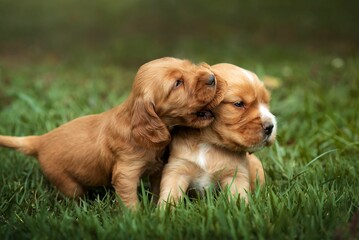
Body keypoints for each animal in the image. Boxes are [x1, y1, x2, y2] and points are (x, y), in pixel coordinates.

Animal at [0, 56, 225, 208]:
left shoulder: (157, 169)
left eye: (189, 67)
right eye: (177, 83)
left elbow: (157, 189)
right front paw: (137, 219)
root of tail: (40, 140)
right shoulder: (125, 173)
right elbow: (129, 201)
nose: (212, 78)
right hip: (67, 182)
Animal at [159, 62, 278, 205]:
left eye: (266, 103)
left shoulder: (236, 174)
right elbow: (170, 195)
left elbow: (239, 199)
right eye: (239, 104)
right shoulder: (177, 168)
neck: (208, 144)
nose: (270, 127)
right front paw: (165, 210)